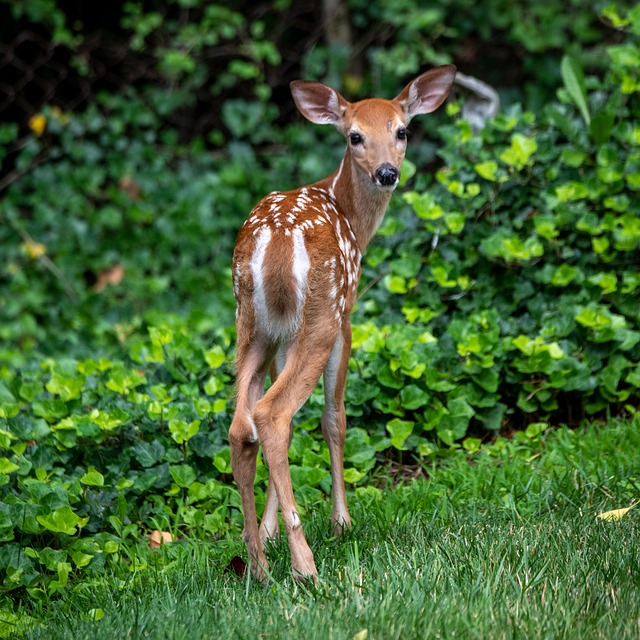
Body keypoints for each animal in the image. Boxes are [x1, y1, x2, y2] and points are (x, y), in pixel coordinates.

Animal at [229, 66, 456, 580]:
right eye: (355, 136)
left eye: (402, 131)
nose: (387, 172)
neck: (350, 215)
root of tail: (275, 242)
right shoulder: (347, 315)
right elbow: (335, 418)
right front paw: (341, 522)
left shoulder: (281, 335)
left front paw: (269, 531)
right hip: (322, 316)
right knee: (273, 414)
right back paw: (305, 564)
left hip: (251, 325)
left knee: (243, 423)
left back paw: (257, 564)